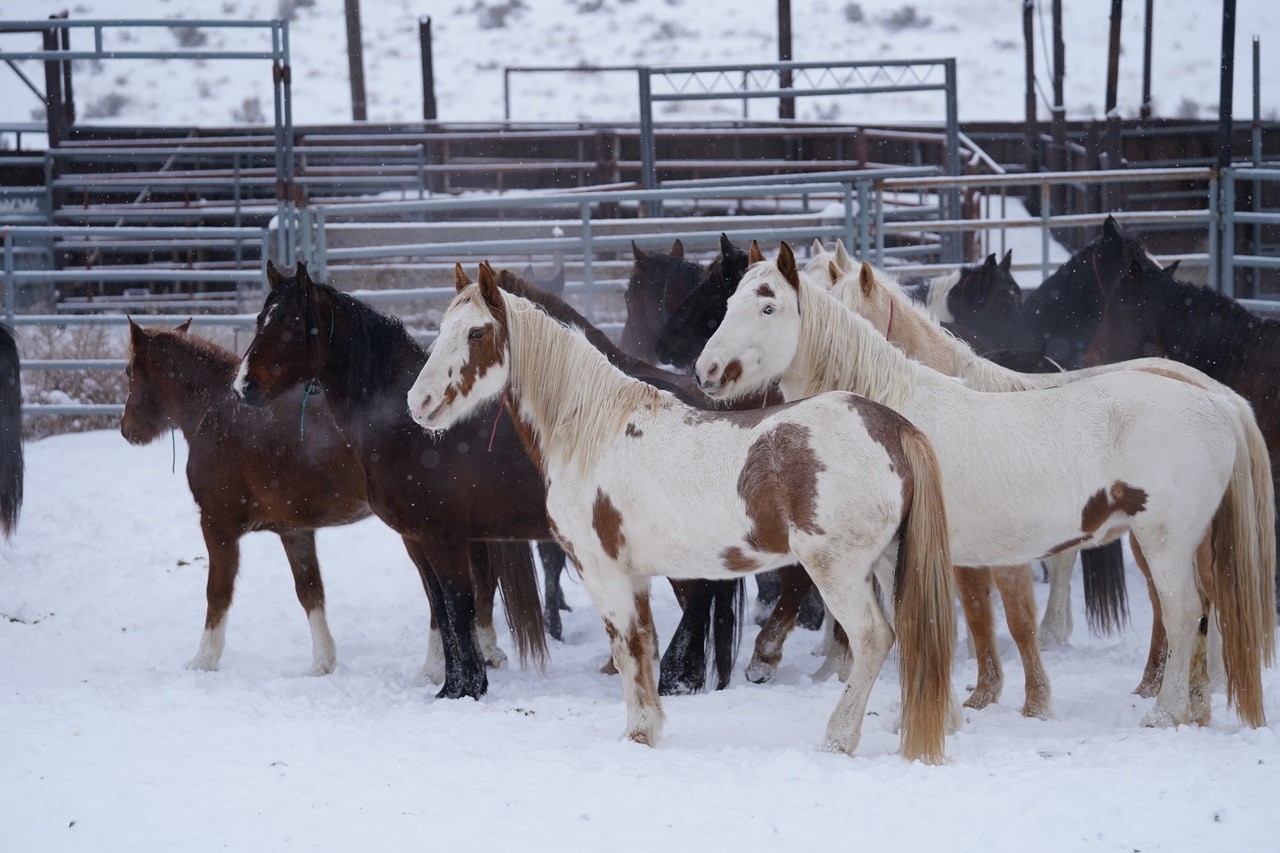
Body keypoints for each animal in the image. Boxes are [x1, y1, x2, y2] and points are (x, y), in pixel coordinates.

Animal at [116, 318, 524, 676]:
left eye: (128, 371)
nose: (125, 430)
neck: (216, 411)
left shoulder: (218, 526)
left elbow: (217, 593)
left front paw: (204, 660)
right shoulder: (294, 531)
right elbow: (310, 591)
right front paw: (322, 663)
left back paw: (434, 669)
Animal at [409, 262, 962, 758]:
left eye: (477, 331)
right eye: (442, 329)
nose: (420, 402)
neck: (594, 432)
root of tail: (894, 426)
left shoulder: (604, 573)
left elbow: (628, 651)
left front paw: (638, 735)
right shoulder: (635, 577)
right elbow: (643, 648)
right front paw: (649, 727)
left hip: (838, 571)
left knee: (873, 639)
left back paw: (838, 738)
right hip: (889, 565)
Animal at [701, 240, 1280, 732]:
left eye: (769, 307)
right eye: (728, 301)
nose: (708, 370)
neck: (893, 415)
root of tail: (1217, 400)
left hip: (1166, 543)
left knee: (1185, 616)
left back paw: (1164, 714)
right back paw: (1194, 708)